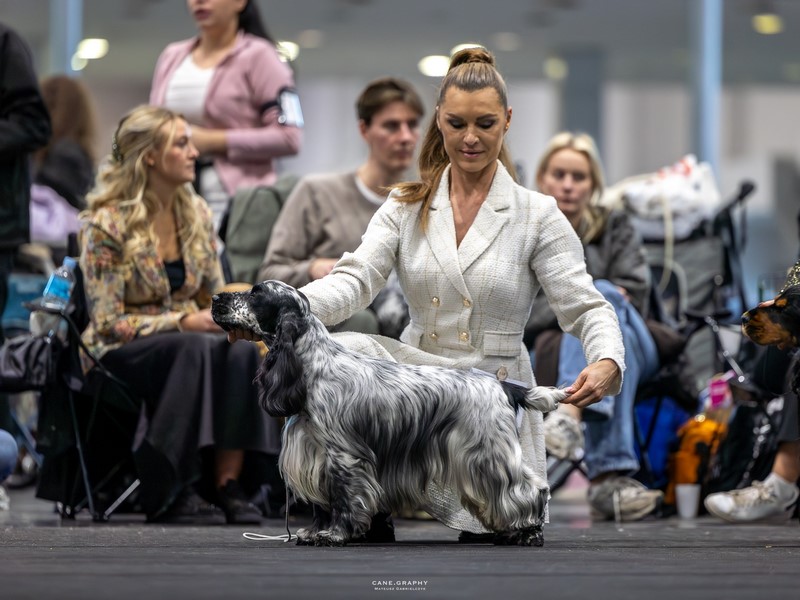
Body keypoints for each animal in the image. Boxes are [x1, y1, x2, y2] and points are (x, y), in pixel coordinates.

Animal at [211, 280, 567, 547]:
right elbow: (322, 503)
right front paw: (314, 532)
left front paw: (334, 535)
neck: (313, 365)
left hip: (487, 454)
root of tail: (503, 386)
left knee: (530, 489)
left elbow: (343, 498)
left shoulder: (343, 456)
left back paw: (528, 533)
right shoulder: (314, 454)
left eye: (255, 293)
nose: (215, 297)